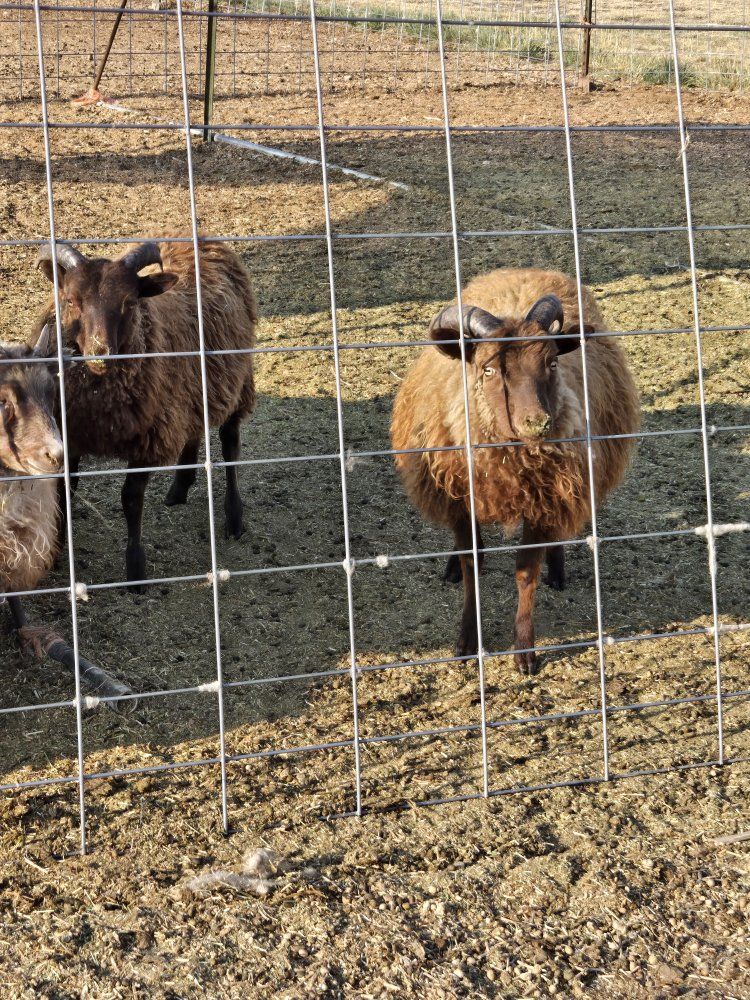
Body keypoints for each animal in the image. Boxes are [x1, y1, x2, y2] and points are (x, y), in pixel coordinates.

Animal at [34, 239, 257, 590]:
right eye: (70, 300)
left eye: (128, 301)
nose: (100, 354)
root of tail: (196, 237)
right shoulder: (69, 434)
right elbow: (63, 492)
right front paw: (58, 551)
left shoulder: (148, 441)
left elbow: (131, 500)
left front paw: (135, 570)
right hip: (190, 390)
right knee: (194, 427)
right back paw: (180, 487)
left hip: (238, 379)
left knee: (230, 443)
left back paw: (234, 518)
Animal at [391, 267, 641, 675]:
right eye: (489, 368)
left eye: (552, 363)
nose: (538, 423)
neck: (509, 459)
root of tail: (524, 270)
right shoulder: (460, 498)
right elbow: (472, 564)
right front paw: (467, 640)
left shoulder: (545, 500)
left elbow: (526, 572)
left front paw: (524, 650)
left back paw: (557, 568)